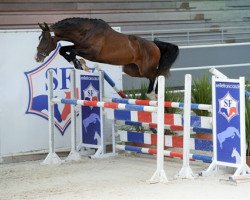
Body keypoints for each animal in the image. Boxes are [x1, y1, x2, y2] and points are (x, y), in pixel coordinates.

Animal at [35, 17, 180, 98]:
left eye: (45, 39)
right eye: (39, 37)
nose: (37, 57)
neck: (86, 31)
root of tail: (154, 44)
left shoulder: (90, 52)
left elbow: (71, 51)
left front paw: (79, 64)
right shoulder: (79, 47)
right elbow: (63, 50)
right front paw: (77, 64)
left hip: (145, 69)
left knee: (156, 75)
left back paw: (152, 94)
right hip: (132, 70)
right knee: (154, 75)